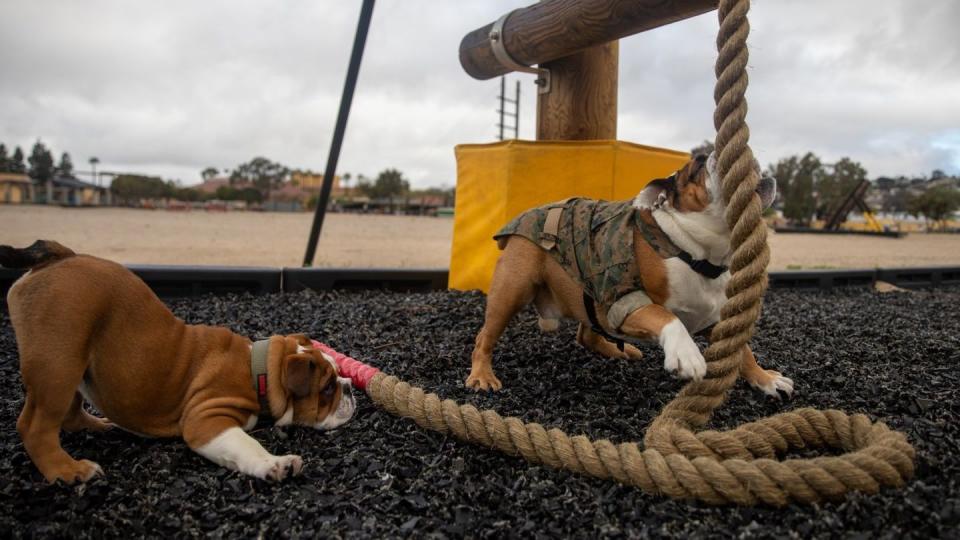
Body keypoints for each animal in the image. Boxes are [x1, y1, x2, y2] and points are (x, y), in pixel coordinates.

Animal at [3, 242, 356, 486]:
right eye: (327, 388)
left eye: (338, 379)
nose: (349, 387)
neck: (261, 369)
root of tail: (59, 255)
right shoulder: (207, 419)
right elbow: (246, 444)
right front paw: (274, 464)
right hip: (58, 363)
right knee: (35, 426)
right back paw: (67, 470)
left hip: (72, 363)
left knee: (71, 413)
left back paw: (99, 425)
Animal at [464, 152, 796, 396]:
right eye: (698, 168)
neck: (693, 251)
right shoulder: (626, 301)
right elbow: (668, 317)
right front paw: (686, 354)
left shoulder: (714, 319)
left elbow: (743, 351)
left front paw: (765, 378)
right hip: (512, 290)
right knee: (485, 336)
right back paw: (482, 376)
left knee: (587, 333)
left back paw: (618, 351)